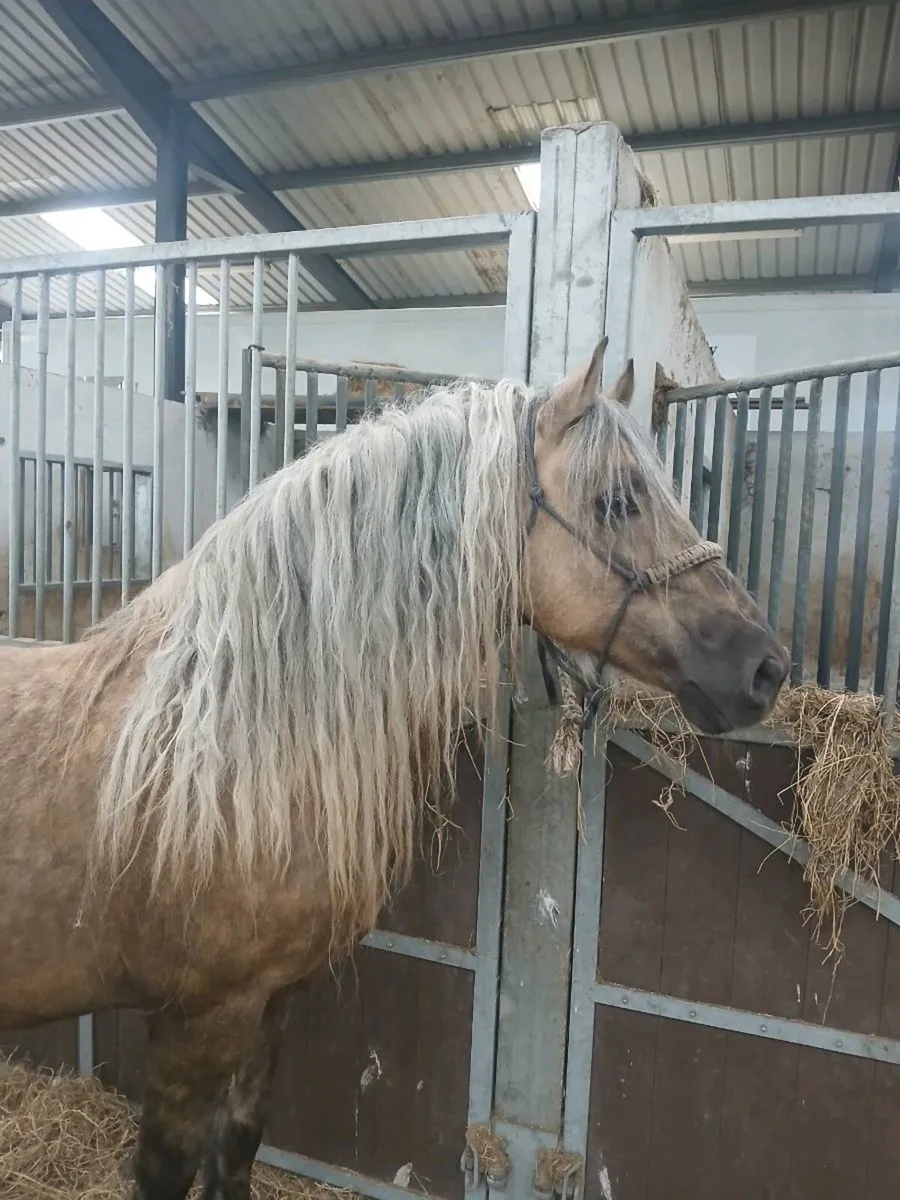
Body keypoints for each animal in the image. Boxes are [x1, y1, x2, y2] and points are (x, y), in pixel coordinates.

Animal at [0, 335, 788, 1199]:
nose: (766, 668)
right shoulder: (194, 1020)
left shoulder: (270, 1004)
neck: (224, 752)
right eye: (618, 501)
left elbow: (236, 1152)